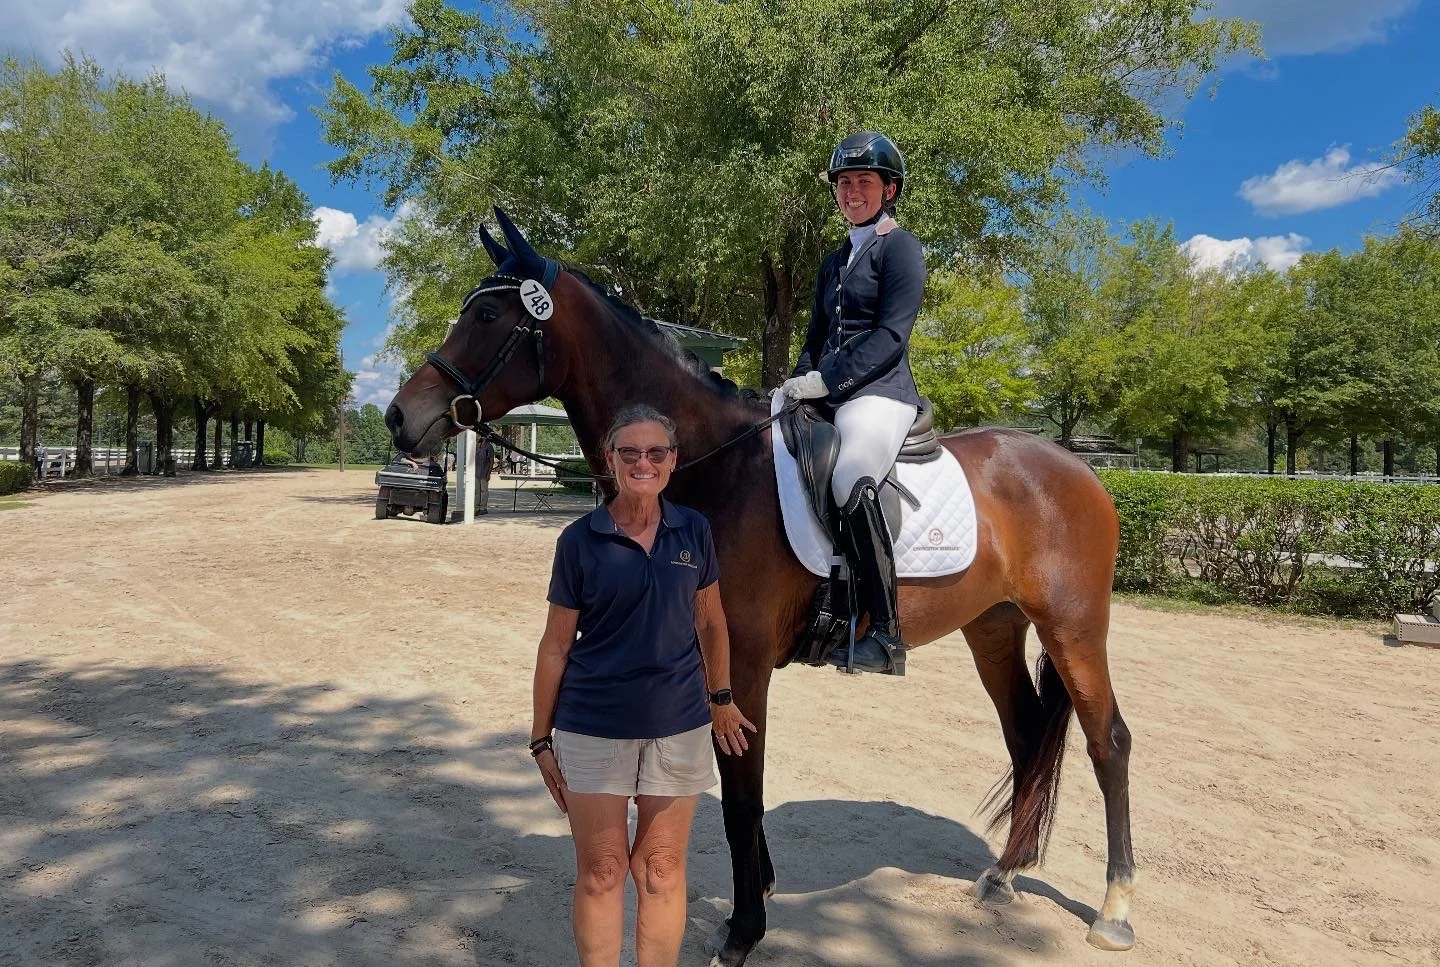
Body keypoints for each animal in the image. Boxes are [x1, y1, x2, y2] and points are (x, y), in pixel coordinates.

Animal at [384, 210, 1135, 965]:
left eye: (486, 314)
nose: (398, 418)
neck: (708, 463)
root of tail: (1077, 468)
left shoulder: (741, 666)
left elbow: (742, 796)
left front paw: (742, 932)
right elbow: (739, 788)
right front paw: (760, 890)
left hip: (1074, 628)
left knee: (1108, 742)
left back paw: (1114, 910)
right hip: (994, 626)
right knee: (1025, 734)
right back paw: (1003, 874)